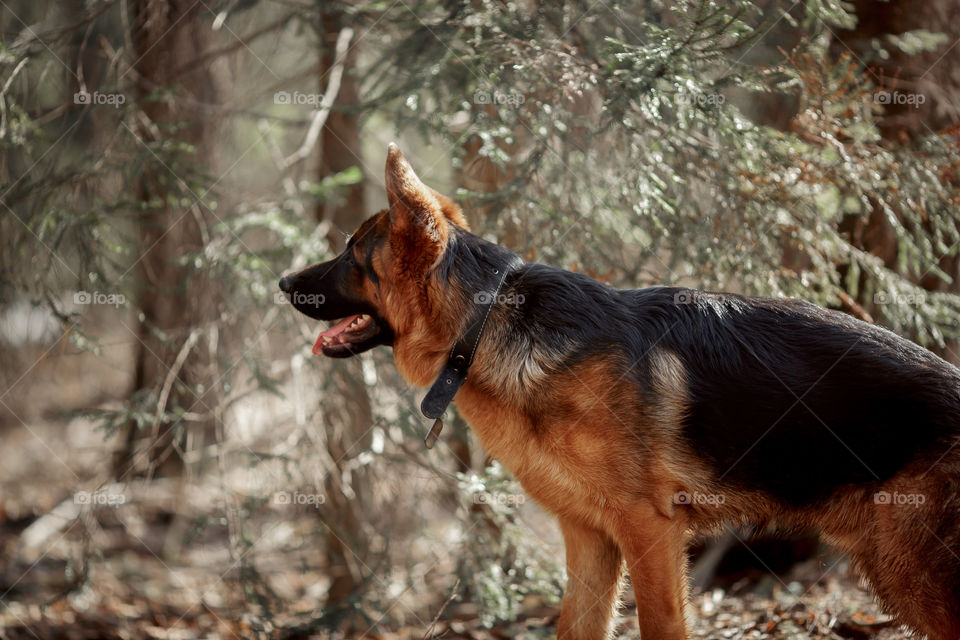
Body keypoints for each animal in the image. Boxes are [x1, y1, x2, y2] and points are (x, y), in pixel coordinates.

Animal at [280, 145, 960, 640]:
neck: (484, 325)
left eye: (350, 254)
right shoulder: (588, 541)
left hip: (913, 573)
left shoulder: (648, 533)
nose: (283, 281)